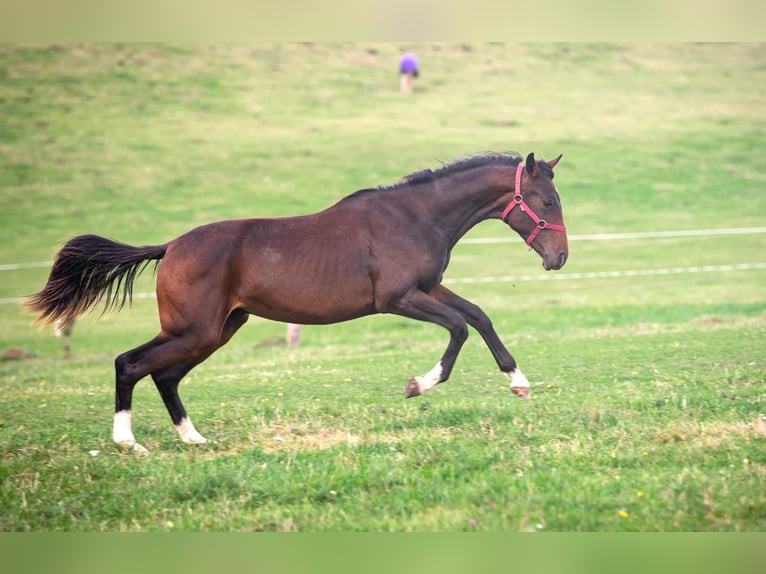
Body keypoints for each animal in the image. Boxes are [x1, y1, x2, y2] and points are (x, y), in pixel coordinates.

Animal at [27, 152, 568, 454]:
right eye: (547, 202)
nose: (559, 257)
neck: (415, 216)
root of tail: (171, 247)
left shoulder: (428, 288)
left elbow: (478, 316)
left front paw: (518, 382)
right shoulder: (398, 298)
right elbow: (459, 327)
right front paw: (419, 385)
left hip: (216, 331)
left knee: (164, 375)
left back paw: (191, 438)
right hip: (194, 330)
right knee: (130, 363)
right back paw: (128, 442)